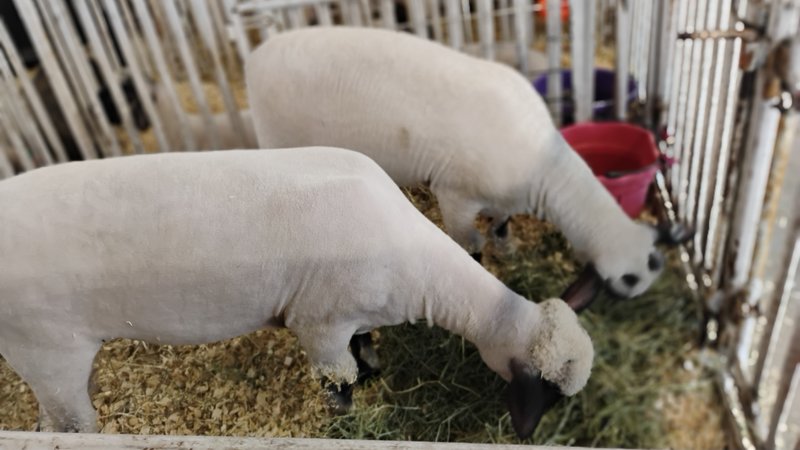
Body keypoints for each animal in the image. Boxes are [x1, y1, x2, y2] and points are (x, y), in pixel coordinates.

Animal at [0, 147, 595, 439]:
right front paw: (344, 417)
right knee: (73, 426)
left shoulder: (352, 314)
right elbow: (339, 376)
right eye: (547, 391)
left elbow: (363, 347)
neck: (422, 271)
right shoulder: (319, 324)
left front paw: (374, 368)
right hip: (47, 349)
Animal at [245, 26, 692, 304]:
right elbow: (470, 243)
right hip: (279, 144)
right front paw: (483, 267)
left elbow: (501, 223)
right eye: (628, 285)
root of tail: (256, 56)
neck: (547, 169)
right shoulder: (454, 195)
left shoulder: (507, 197)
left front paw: (507, 246)